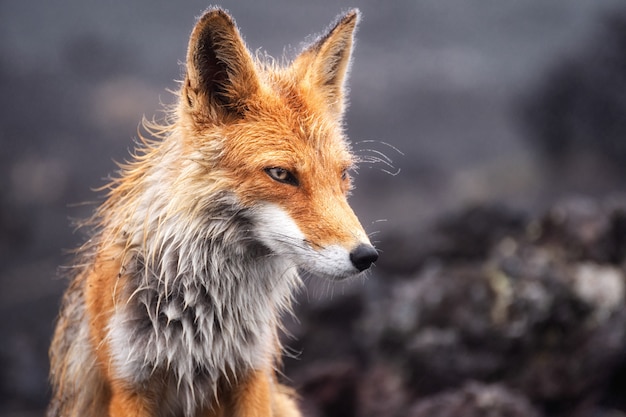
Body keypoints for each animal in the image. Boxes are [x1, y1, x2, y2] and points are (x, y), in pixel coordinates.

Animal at [47, 6, 376, 416]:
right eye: (281, 174)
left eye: (343, 174)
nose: (366, 256)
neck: (203, 312)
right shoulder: (130, 383)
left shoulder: (250, 370)